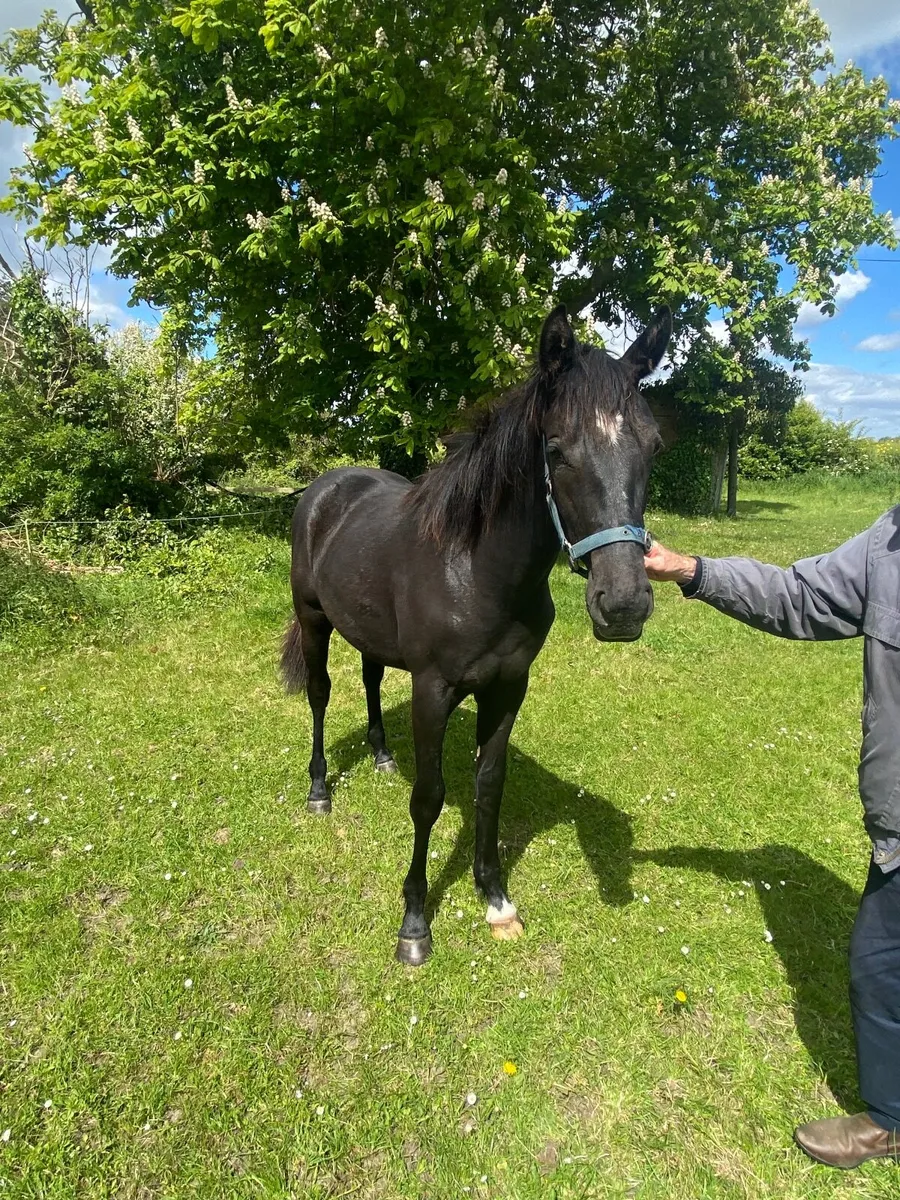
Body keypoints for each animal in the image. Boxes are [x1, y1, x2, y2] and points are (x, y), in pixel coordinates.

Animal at [282, 304, 673, 965]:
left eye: (652, 446)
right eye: (557, 450)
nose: (623, 605)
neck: (477, 570)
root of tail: (325, 488)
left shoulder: (508, 687)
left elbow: (489, 785)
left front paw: (495, 899)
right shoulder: (433, 690)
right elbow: (430, 797)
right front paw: (414, 923)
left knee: (370, 679)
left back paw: (383, 755)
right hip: (313, 620)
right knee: (320, 693)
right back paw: (319, 790)